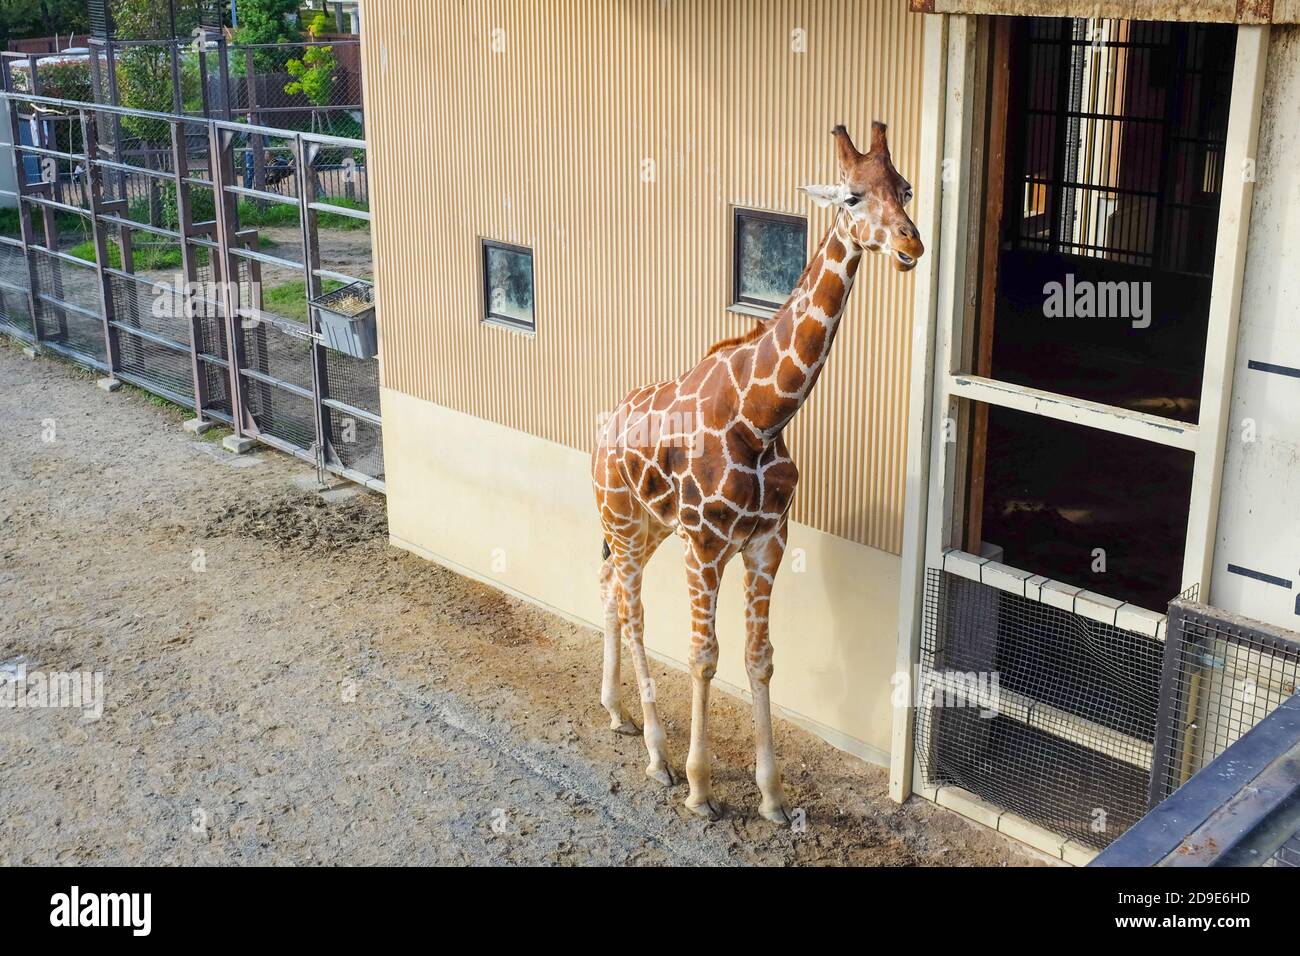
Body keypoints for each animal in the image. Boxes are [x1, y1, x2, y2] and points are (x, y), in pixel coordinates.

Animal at [595, 121, 920, 822]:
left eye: (905, 188)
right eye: (852, 196)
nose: (912, 243)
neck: (760, 417)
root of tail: (603, 432)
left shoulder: (767, 539)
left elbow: (761, 659)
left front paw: (772, 796)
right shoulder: (705, 542)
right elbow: (703, 656)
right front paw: (700, 788)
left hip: (646, 528)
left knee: (608, 589)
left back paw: (616, 713)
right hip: (626, 525)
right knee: (633, 611)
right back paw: (658, 757)